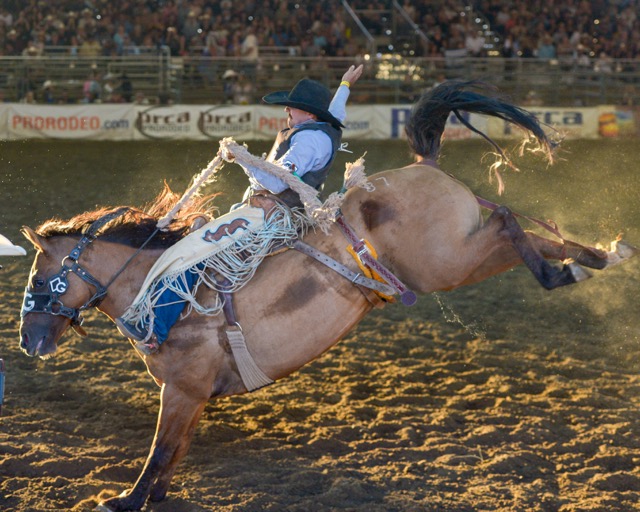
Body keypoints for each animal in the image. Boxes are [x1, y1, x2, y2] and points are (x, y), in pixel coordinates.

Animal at [18, 82, 636, 510]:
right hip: (457, 256)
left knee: (508, 220)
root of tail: (425, 167)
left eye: (41, 281)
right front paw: (152, 497)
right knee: (527, 231)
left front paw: (124, 500)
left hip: (445, 264)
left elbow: (159, 451)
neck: (158, 287)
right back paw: (598, 257)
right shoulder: (190, 396)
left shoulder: (183, 389)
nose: (28, 342)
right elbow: (173, 454)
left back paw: (565, 271)